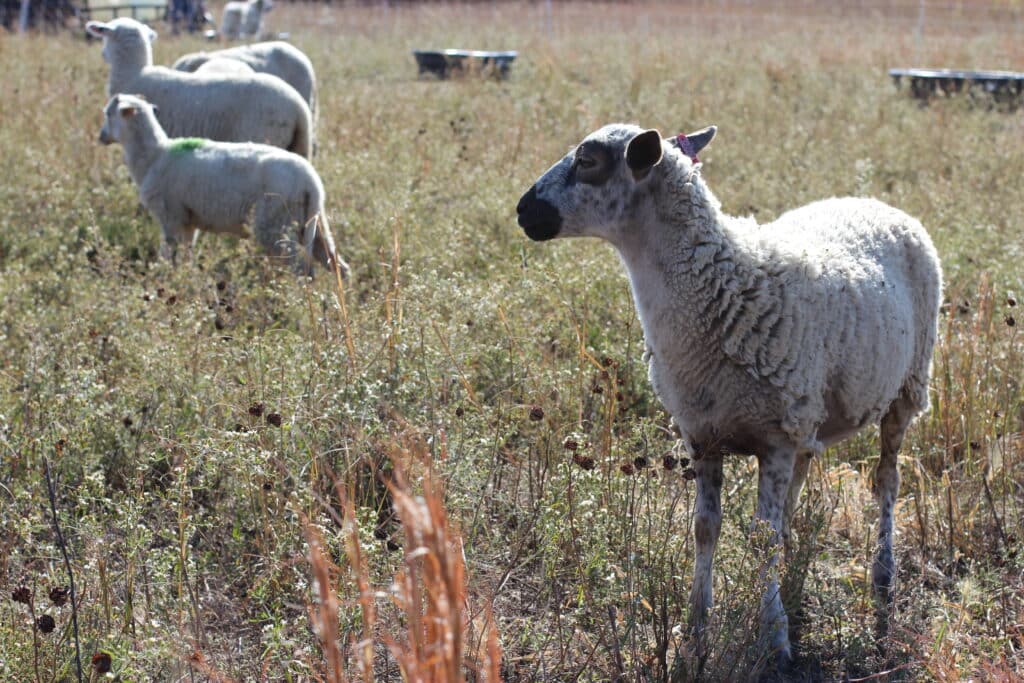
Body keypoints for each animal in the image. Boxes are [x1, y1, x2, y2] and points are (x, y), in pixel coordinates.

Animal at [99, 93, 348, 278]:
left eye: (108, 114)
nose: (101, 136)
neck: (154, 156)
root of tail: (312, 184)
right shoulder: (188, 220)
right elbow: (186, 255)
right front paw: (185, 278)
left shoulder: (171, 217)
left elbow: (168, 253)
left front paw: (164, 278)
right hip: (313, 222)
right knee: (337, 265)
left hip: (276, 223)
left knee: (300, 269)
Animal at [516, 122, 937, 667]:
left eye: (587, 161)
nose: (523, 209)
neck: (721, 286)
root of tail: (874, 202)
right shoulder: (703, 435)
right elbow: (706, 529)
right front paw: (696, 632)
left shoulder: (773, 439)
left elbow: (760, 539)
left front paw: (774, 639)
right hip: (807, 412)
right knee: (798, 490)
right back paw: (795, 573)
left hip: (907, 389)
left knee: (886, 482)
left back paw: (882, 589)